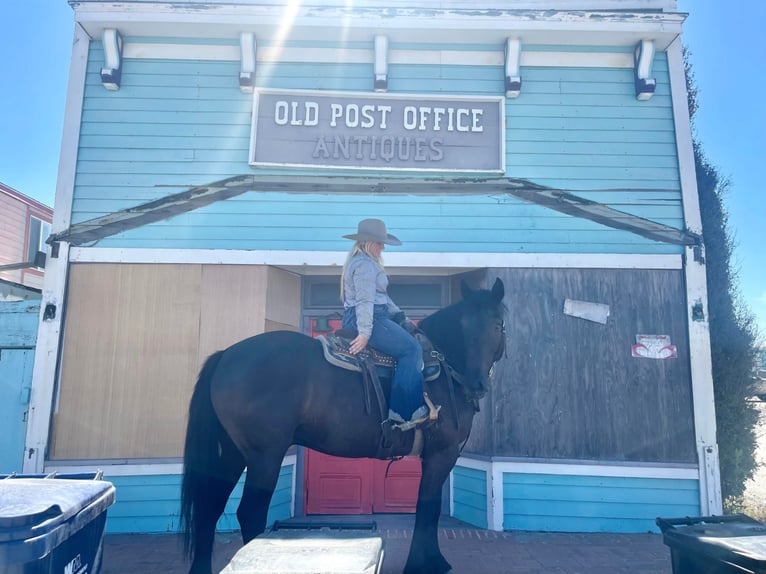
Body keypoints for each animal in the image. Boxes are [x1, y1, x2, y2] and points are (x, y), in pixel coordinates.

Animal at [182, 280, 510, 574]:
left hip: (231, 453)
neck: (444, 367)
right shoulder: (442, 453)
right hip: (265, 455)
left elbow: (427, 508)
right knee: (249, 512)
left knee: (209, 508)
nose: (478, 384)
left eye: (496, 326)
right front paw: (426, 564)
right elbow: (428, 508)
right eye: (463, 326)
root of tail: (226, 355)